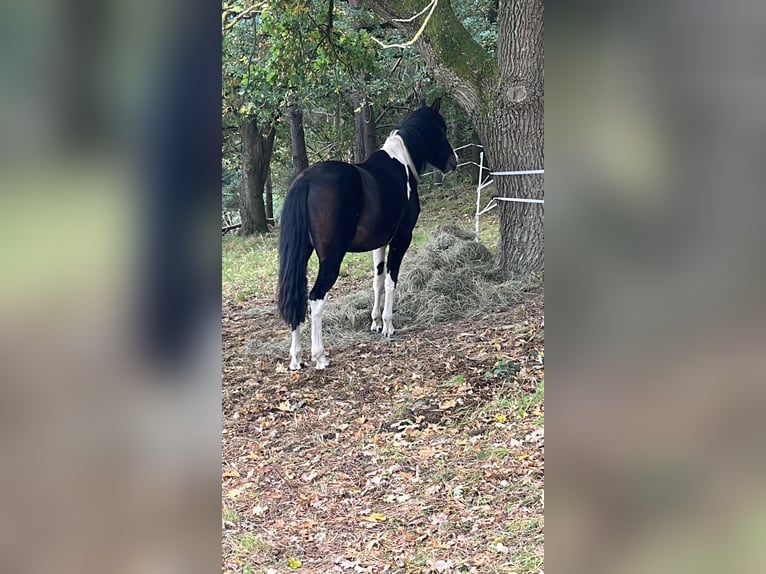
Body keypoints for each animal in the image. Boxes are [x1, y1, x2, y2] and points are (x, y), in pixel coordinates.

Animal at [277, 98, 457, 369]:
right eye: (441, 129)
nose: (453, 162)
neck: (401, 164)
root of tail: (306, 180)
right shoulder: (401, 240)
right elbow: (392, 281)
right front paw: (388, 325)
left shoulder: (379, 244)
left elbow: (378, 281)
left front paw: (375, 322)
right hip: (331, 258)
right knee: (316, 298)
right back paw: (320, 357)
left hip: (302, 254)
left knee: (297, 298)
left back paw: (296, 358)